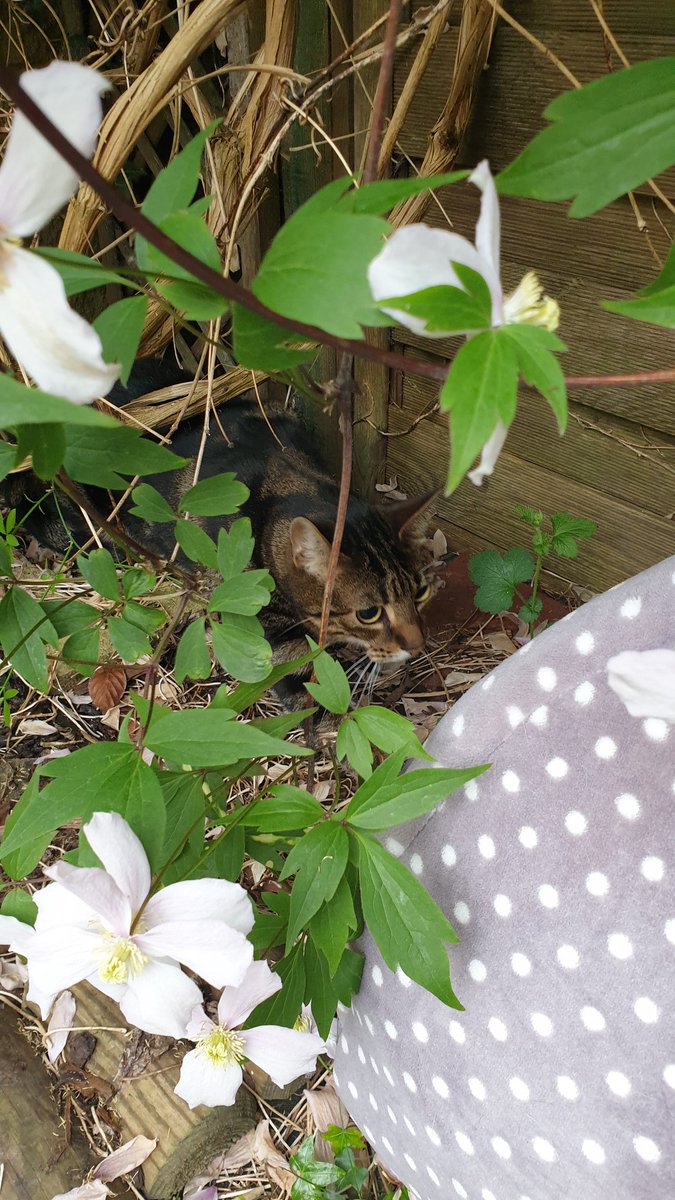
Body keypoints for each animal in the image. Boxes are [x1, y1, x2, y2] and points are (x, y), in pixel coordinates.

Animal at [10, 355, 444, 710]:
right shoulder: (254, 605)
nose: (418, 644)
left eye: (421, 592)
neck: (293, 483)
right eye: (369, 613)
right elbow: (300, 671)